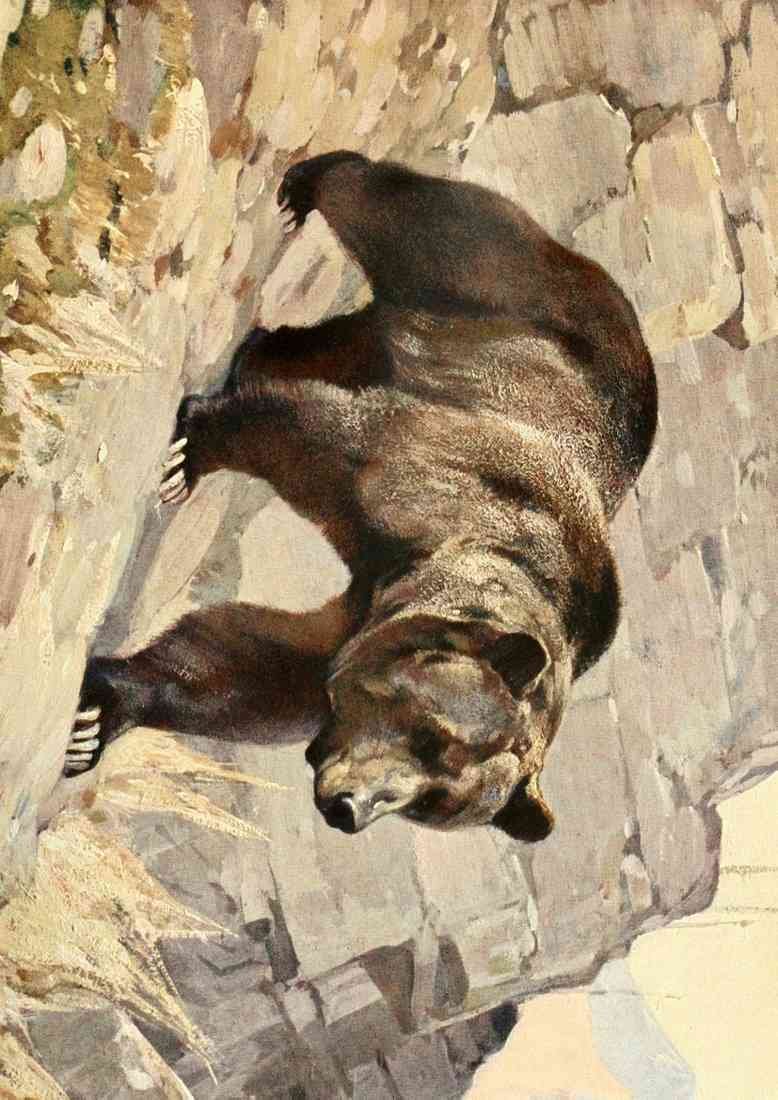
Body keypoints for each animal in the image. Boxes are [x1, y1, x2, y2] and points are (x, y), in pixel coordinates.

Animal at [64, 150, 657, 842]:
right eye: (430, 736)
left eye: (431, 802)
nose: (347, 809)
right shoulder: (439, 477)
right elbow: (312, 440)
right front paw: (191, 450)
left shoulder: (368, 616)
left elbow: (251, 667)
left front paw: (98, 717)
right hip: (488, 282)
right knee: (393, 212)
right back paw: (307, 185)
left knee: (326, 346)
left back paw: (260, 347)